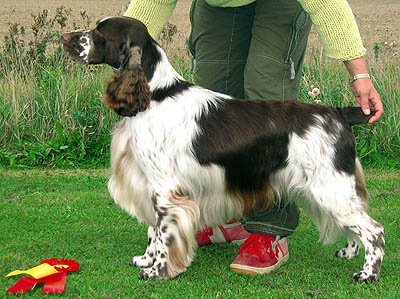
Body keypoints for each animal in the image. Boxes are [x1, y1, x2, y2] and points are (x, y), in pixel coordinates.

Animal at [61, 17, 384, 284]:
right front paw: (145, 258)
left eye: (99, 32)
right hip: (334, 189)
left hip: (329, 188)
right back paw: (348, 252)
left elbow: (164, 233)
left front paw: (156, 271)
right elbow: (153, 230)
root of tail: (339, 112)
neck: (156, 94)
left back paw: (367, 274)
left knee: (374, 230)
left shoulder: (165, 190)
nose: (64, 36)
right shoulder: (150, 184)